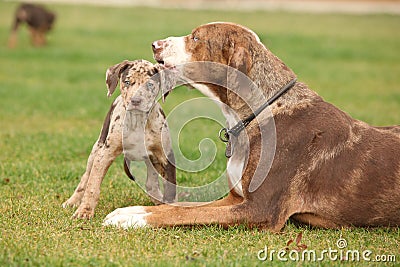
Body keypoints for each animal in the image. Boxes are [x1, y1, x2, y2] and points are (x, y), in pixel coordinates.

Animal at [63, 59, 176, 219]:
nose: (135, 100)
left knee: (151, 184)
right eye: (127, 82)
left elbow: (171, 188)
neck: (138, 121)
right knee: (85, 177)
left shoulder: (165, 155)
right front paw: (84, 211)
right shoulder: (105, 154)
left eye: (149, 84)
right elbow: (92, 185)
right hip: (97, 148)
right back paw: (72, 201)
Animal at [104, 22, 400, 232]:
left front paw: (132, 219)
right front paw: (132, 210)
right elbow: (182, 206)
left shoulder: (259, 210)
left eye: (196, 38)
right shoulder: (234, 199)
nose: (155, 44)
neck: (258, 113)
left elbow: (185, 212)